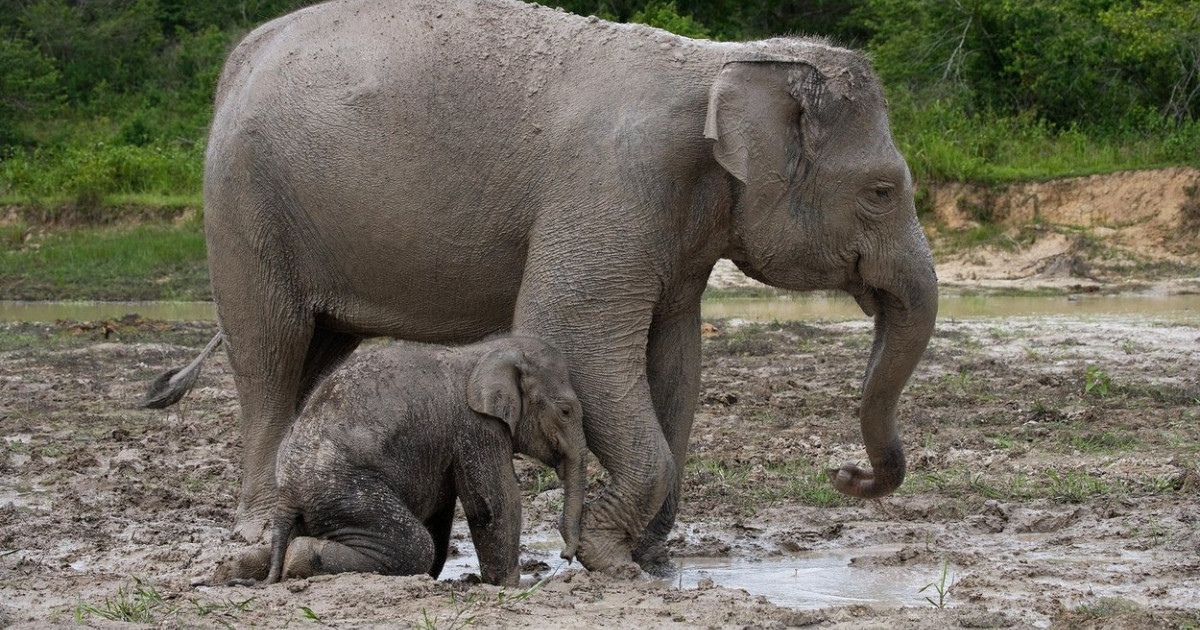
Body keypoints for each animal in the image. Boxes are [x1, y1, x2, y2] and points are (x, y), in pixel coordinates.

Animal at [265, 333, 588, 585]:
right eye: (566, 411)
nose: (566, 556)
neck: (486, 350)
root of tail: (286, 495)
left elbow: (441, 508)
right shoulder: (476, 426)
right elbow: (496, 503)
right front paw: (512, 586)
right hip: (345, 493)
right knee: (416, 546)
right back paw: (298, 560)